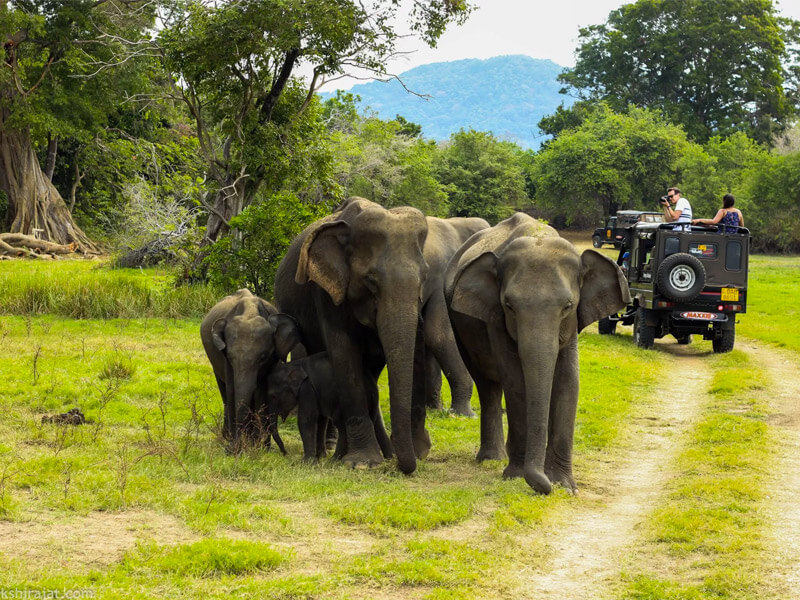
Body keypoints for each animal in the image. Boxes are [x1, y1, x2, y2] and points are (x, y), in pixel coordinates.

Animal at [200, 290, 300, 450]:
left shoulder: (272, 359)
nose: (232, 449)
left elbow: (261, 392)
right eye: (230, 356)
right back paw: (228, 436)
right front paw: (238, 446)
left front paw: (258, 446)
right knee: (224, 392)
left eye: (263, 357)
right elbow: (232, 390)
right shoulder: (225, 358)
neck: (250, 312)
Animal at [278, 197, 434, 474]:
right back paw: (329, 450)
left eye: (424, 278)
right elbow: (344, 353)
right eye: (371, 280)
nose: (416, 455)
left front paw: (393, 455)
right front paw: (363, 463)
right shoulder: (326, 291)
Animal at [446, 213, 628, 494]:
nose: (544, 485)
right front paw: (516, 476)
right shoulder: (496, 319)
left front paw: (565, 486)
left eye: (567, 306)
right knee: (487, 385)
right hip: (458, 327)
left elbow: (568, 380)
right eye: (509, 306)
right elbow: (515, 380)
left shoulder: (572, 325)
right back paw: (493, 459)